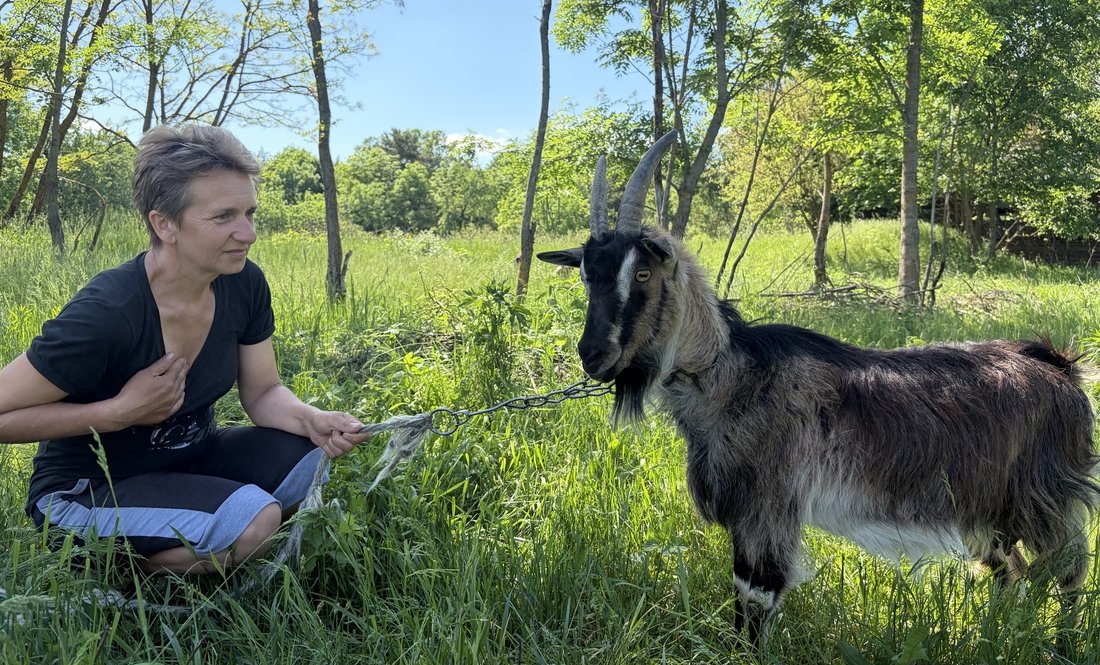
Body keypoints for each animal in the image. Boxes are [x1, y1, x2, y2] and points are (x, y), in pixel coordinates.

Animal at [537, 132, 1099, 646]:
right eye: (586, 276)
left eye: (644, 273)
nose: (593, 356)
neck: (731, 375)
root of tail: (1060, 367)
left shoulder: (767, 507)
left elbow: (755, 597)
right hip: (989, 507)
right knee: (1011, 572)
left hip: (1046, 495)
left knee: (1068, 572)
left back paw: (1063, 644)